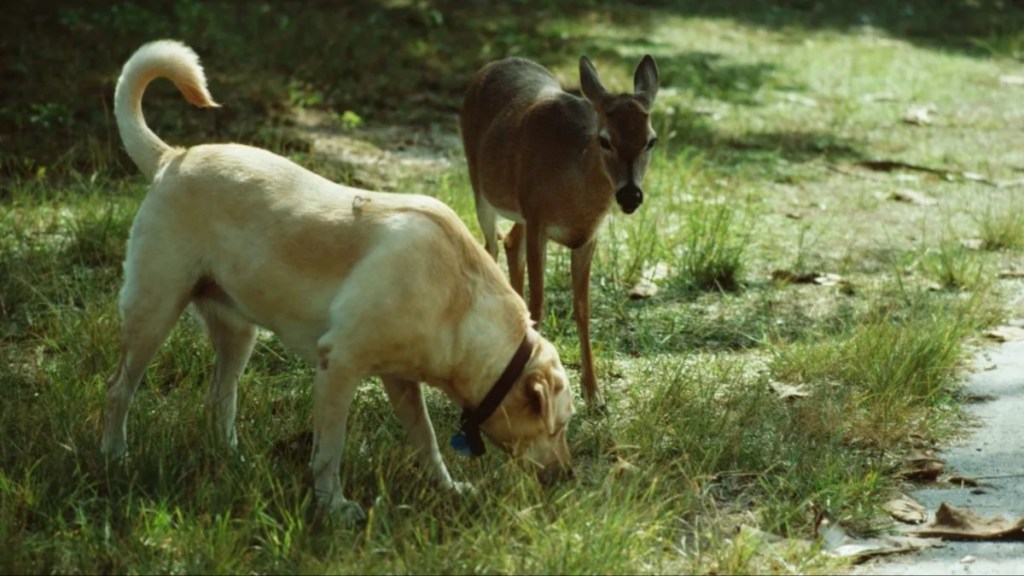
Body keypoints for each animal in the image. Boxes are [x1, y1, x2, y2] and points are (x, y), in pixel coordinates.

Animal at [460, 52, 659, 403]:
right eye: (605, 140)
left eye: (651, 140)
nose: (630, 195)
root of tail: (495, 63)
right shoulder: (538, 219)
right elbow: (539, 300)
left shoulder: (587, 237)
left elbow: (582, 308)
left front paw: (594, 394)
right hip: (480, 185)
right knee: (491, 247)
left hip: (520, 211)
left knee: (511, 243)